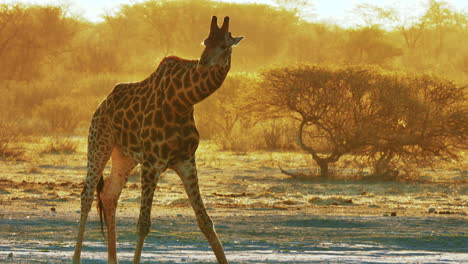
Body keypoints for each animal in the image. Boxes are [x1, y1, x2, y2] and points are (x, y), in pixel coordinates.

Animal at [71, 15, 243, 262]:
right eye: (205, 42)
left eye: (223, 45)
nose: (203, 64)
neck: (184, 101)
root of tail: (101, 105)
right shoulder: (152, 162)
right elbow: (143, 224)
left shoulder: (185, 160)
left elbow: (205, 221)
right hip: (98, 143)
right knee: (86, 195)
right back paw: (76, 257)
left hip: (124, 156)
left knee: (109, 195)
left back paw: (113, 259)